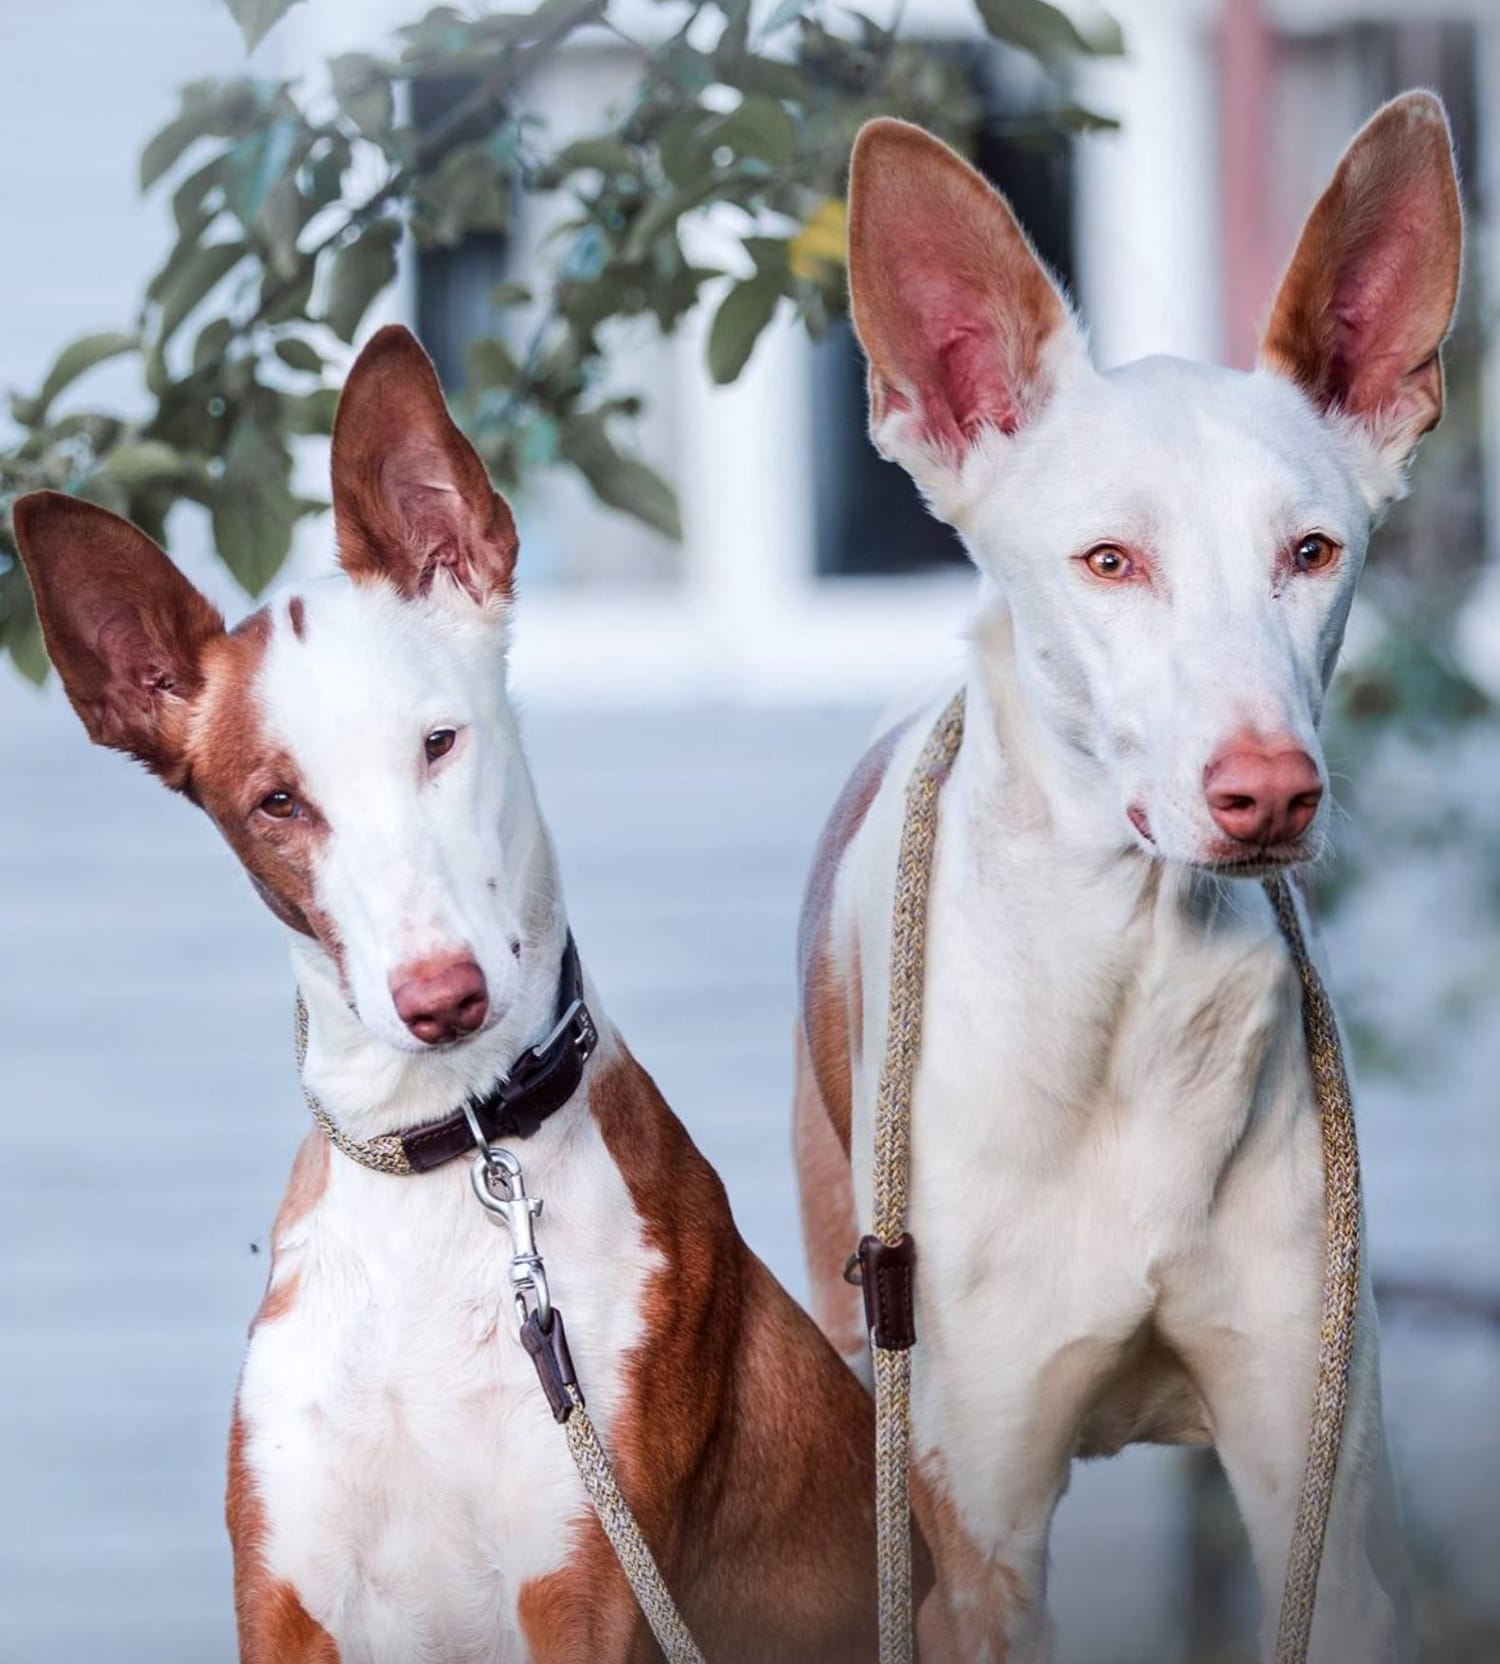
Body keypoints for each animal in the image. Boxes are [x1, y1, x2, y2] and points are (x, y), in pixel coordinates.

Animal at [14, 324, 879, 1664]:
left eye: (439, 740)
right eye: (278, 801)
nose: (442, 997)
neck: (446, 1159)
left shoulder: (589, 1594)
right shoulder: (282, 1602)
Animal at [795, 97, 1465, 1657]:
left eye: (1311, 552)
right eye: (1110, 562)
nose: (1270, 788)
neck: (1134, 996)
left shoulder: (1324, 1498)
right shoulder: (974, 1546)